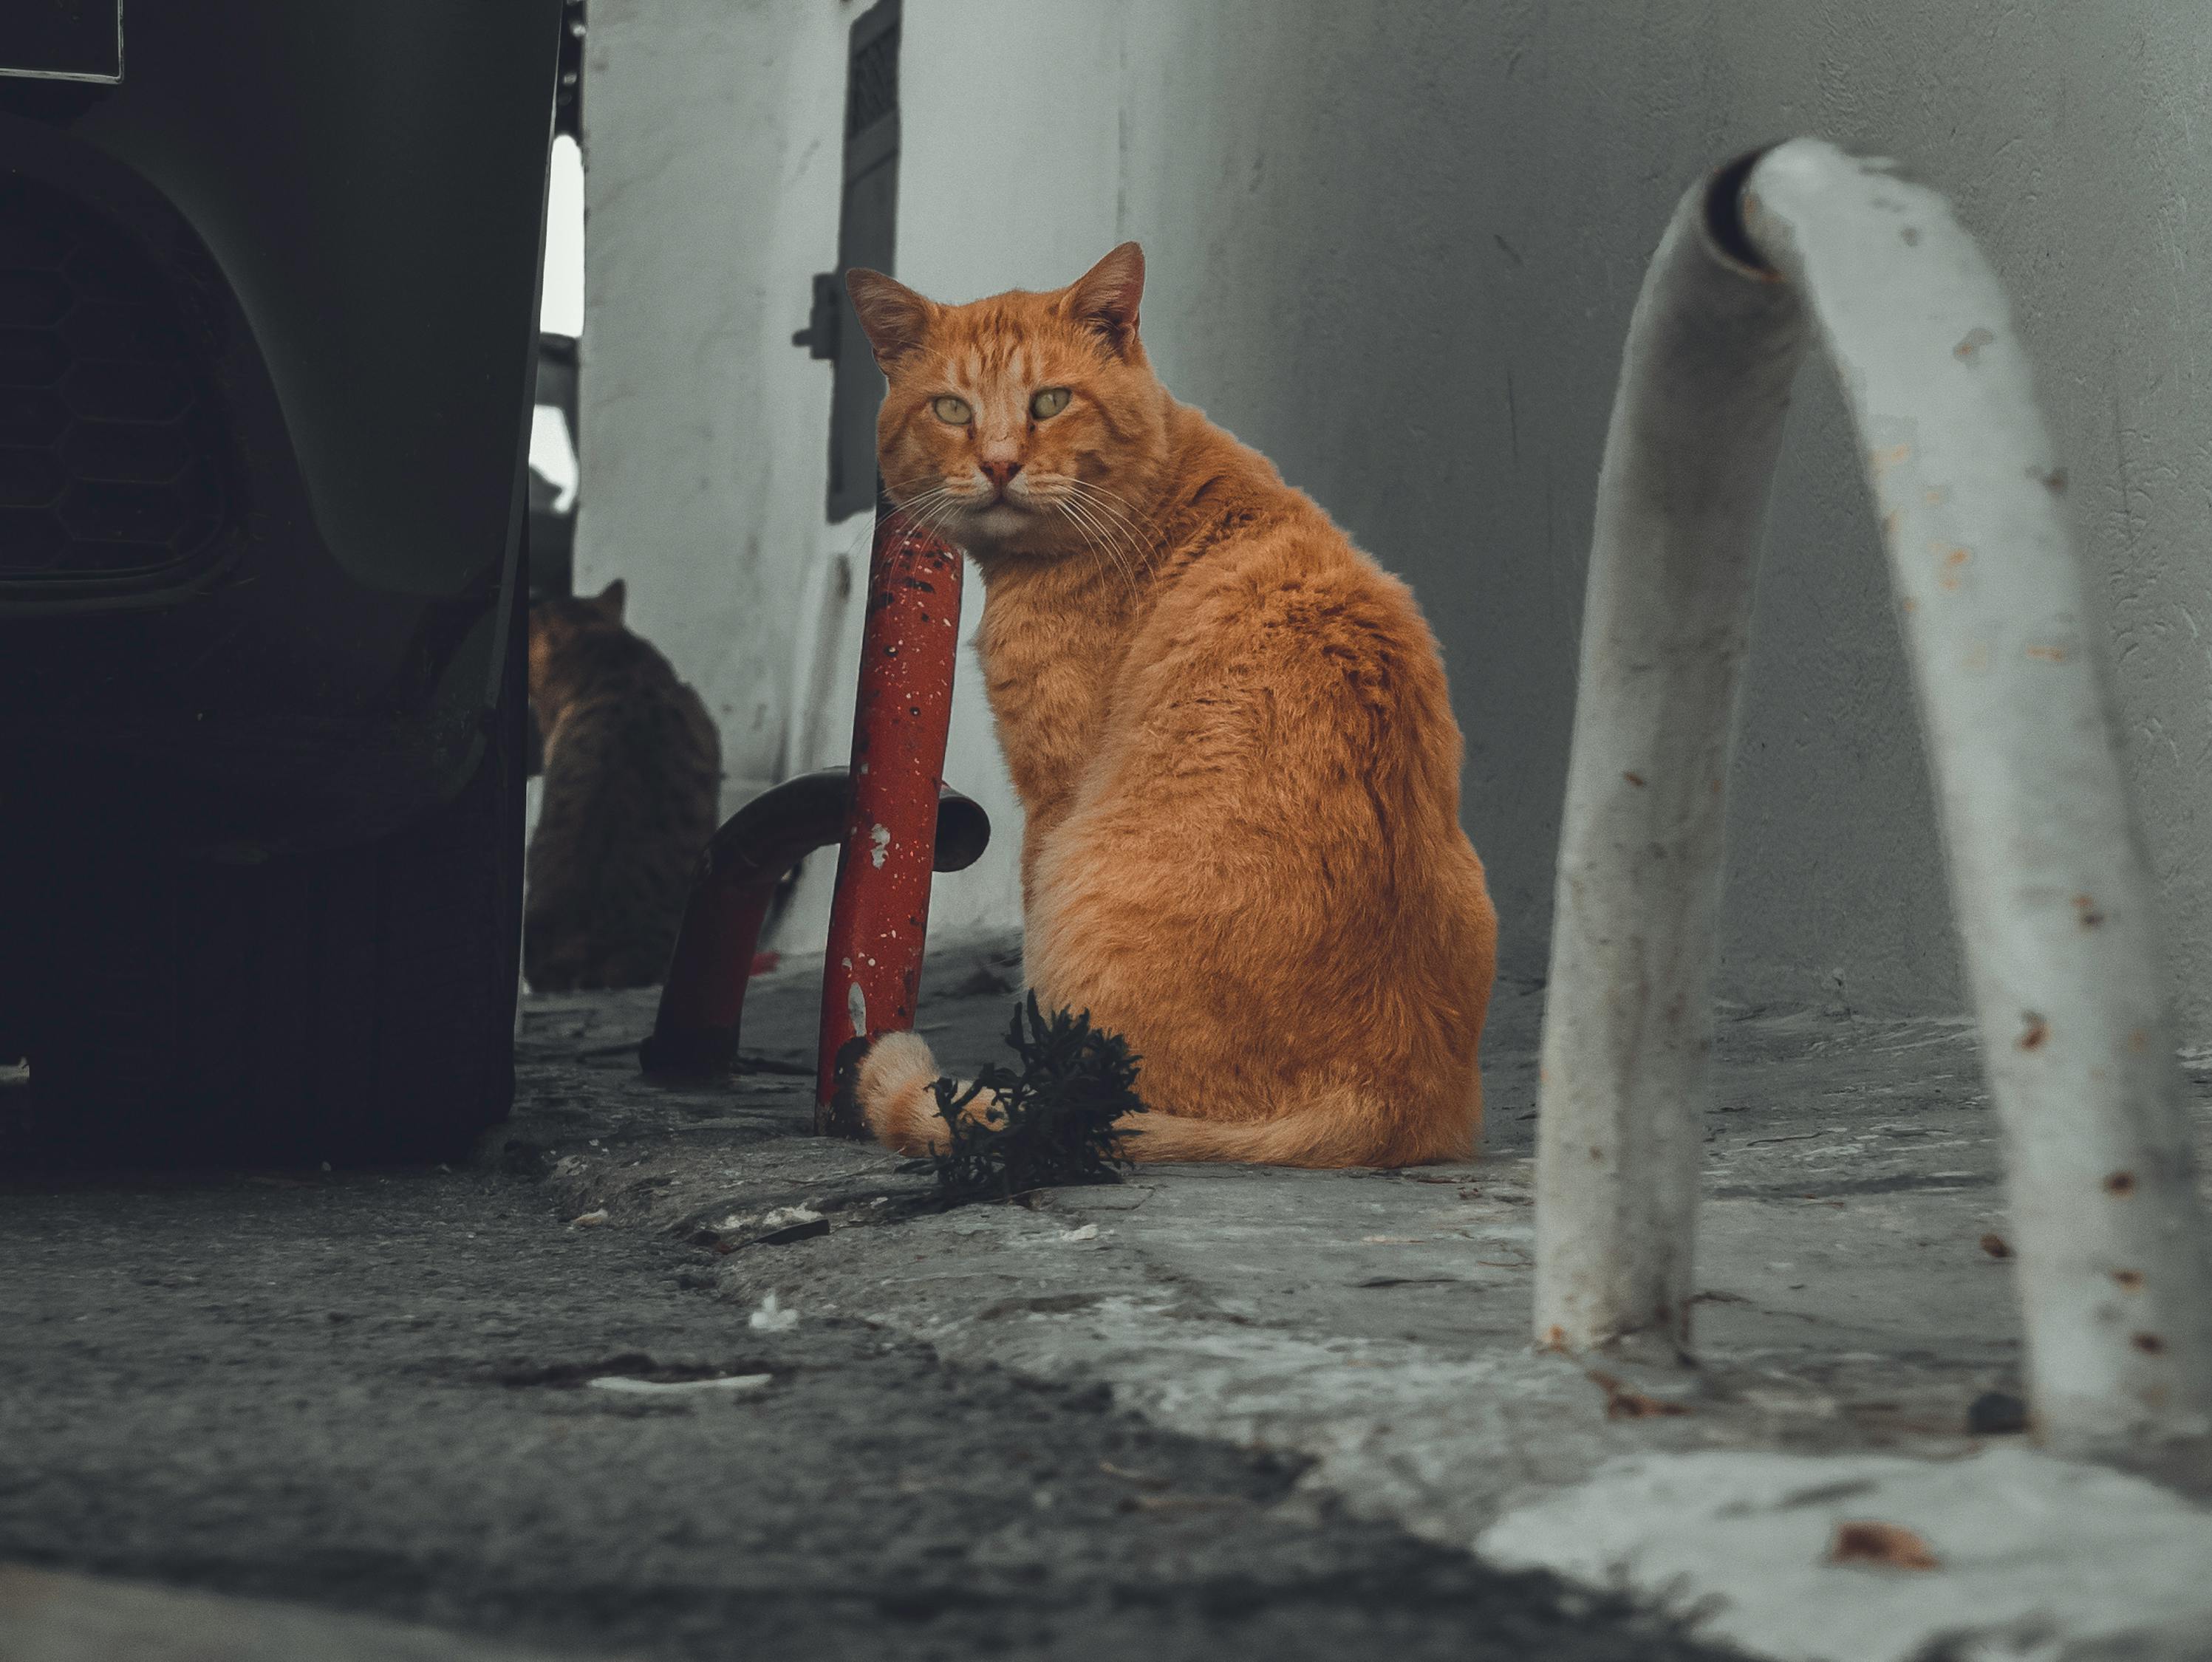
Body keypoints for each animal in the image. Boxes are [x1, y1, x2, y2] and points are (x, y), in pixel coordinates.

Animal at [836, 243, 1495, 1166]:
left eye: (1049, 401)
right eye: (953, 409)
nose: (999, 464)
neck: (1150, 498)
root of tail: (1387, 1096)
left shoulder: (1050, 801)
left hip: (1074, 872)